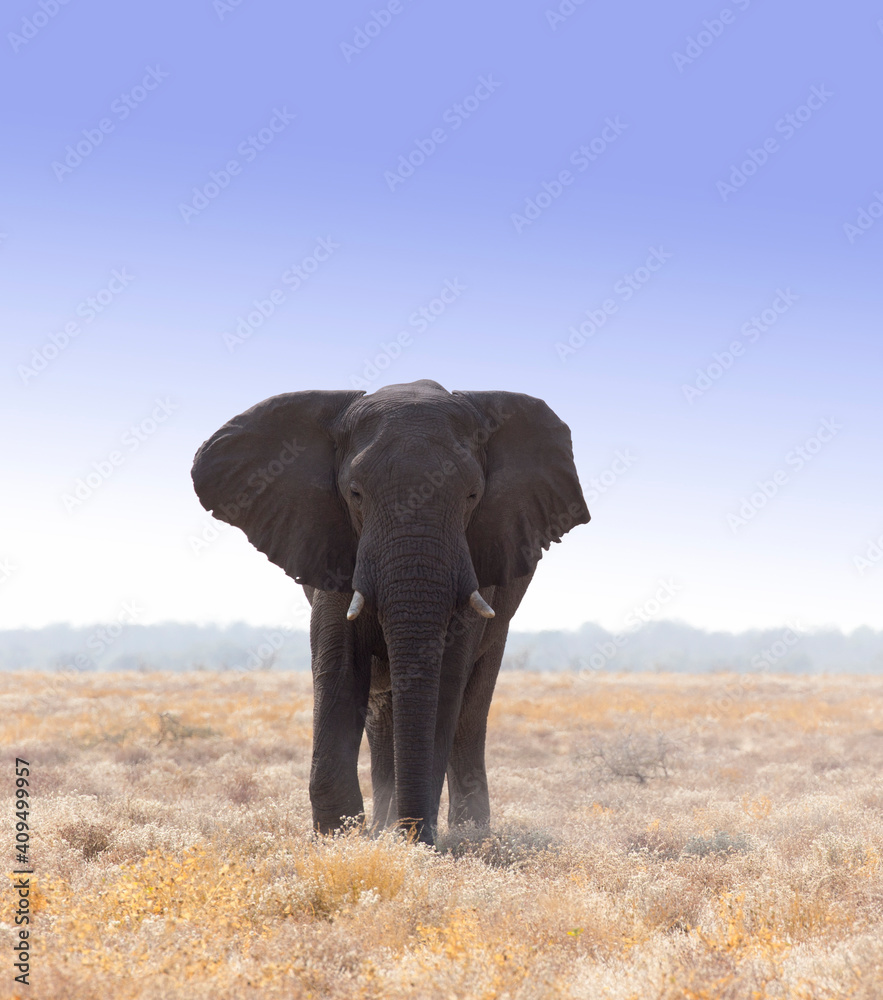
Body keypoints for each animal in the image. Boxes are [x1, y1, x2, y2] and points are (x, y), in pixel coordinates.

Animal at [191, 379, 589, 845]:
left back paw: (468, 835)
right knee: (382, 711)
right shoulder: (332, 544)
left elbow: (446, 678)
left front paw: (415, 843)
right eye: (355, 494)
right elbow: (338, 666)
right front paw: (340, 840)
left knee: (471, 712)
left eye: (472, 496)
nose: (417, 835)